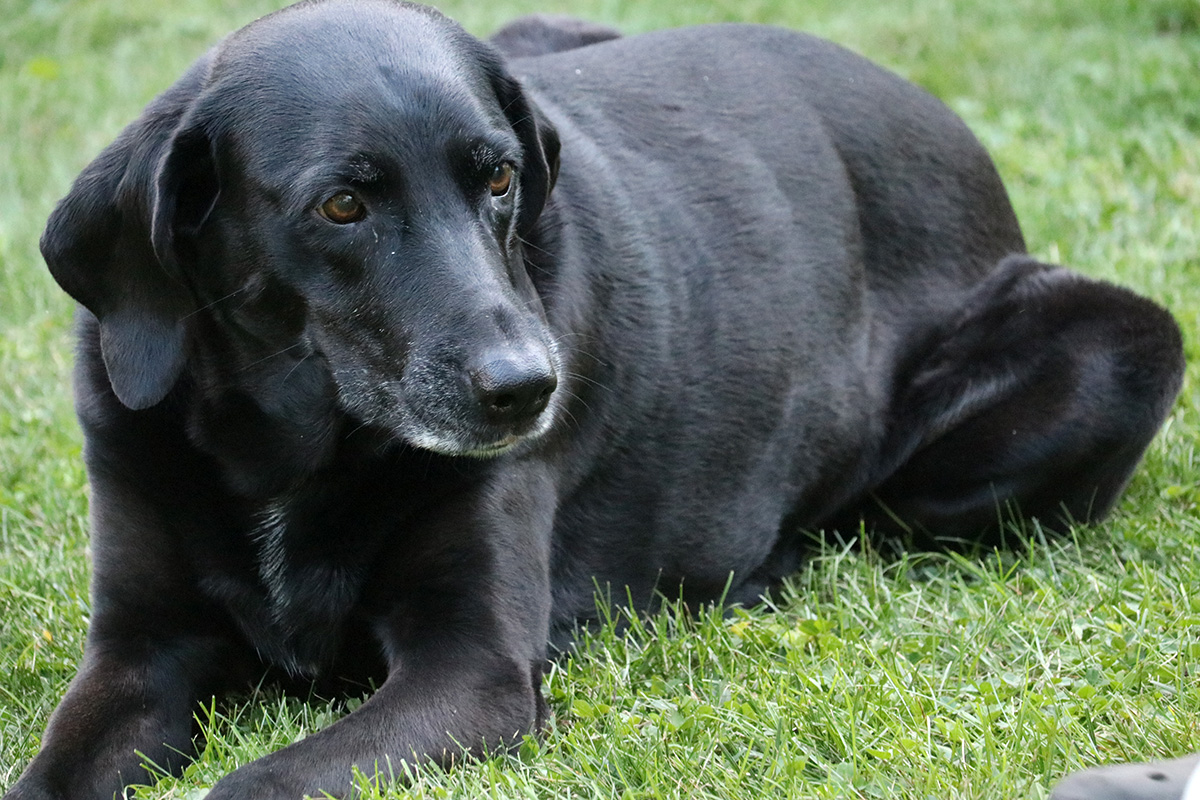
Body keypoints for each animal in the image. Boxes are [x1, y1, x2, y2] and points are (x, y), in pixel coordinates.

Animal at [4, 1, 1184, 798]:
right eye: (342, 205)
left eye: (497, 178)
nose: (530, 387)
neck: (295, 447)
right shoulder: (141, 651)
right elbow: (50, 771)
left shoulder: (471, 672)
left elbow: (258, 778)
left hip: (1122, 351)